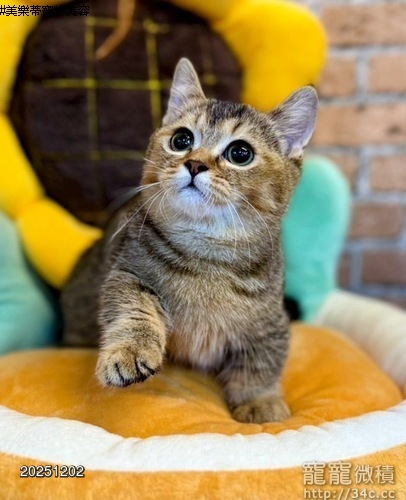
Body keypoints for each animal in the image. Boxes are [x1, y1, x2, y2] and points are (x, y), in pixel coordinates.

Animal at [61, 58, 318, 423]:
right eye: (181, 139)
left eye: (241, 153)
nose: (194, 163)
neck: (207, 252)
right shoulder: (127, 273)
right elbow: (134, 312)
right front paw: (128, 353)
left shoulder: (271, 320)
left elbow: (262, 362)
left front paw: (260, 401)